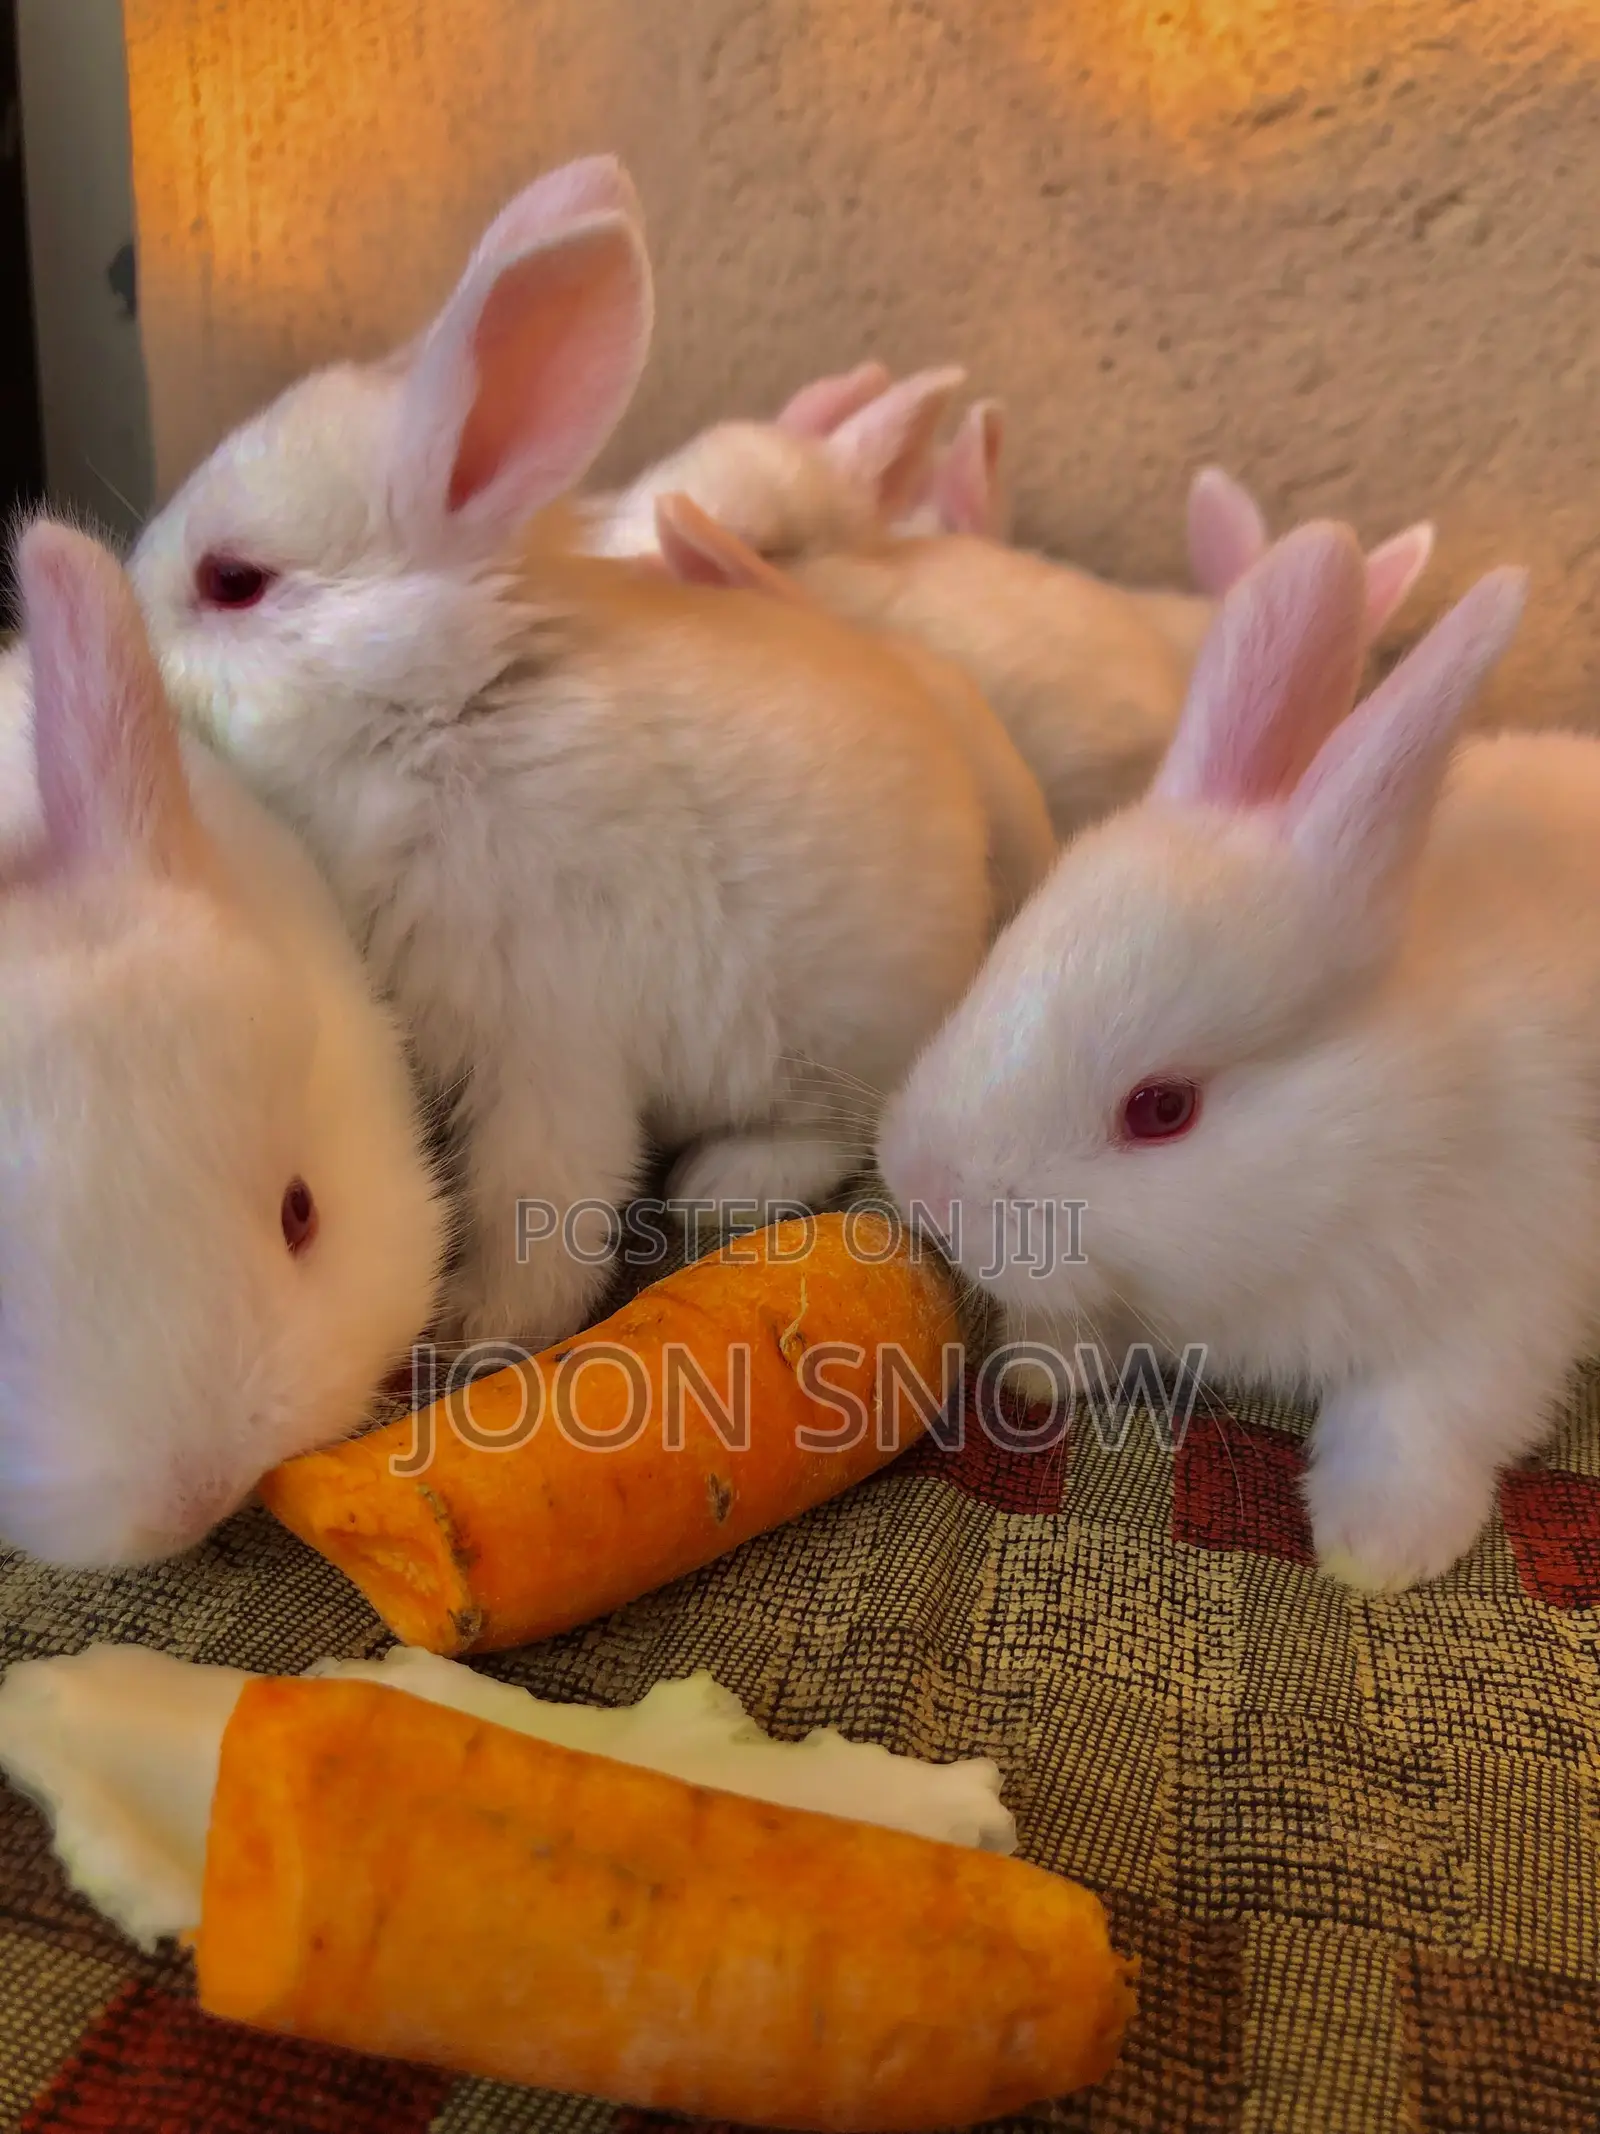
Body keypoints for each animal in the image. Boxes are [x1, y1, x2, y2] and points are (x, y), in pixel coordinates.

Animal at [129, 157, 1007, 1351]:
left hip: (833, 1037)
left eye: (233, 581)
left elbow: (542, 1203)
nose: (123, 623)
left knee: (829, 1130)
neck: (448, 715)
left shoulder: (545, 1046)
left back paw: (718, 1185)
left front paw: (477, 1330)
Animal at [873, 517, 1600, 1595]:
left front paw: (1375, 1548)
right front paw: (1038, 1370)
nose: (924, 1192)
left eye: (1163, 1109)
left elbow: (1419, 1424)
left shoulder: (1497, 1308)